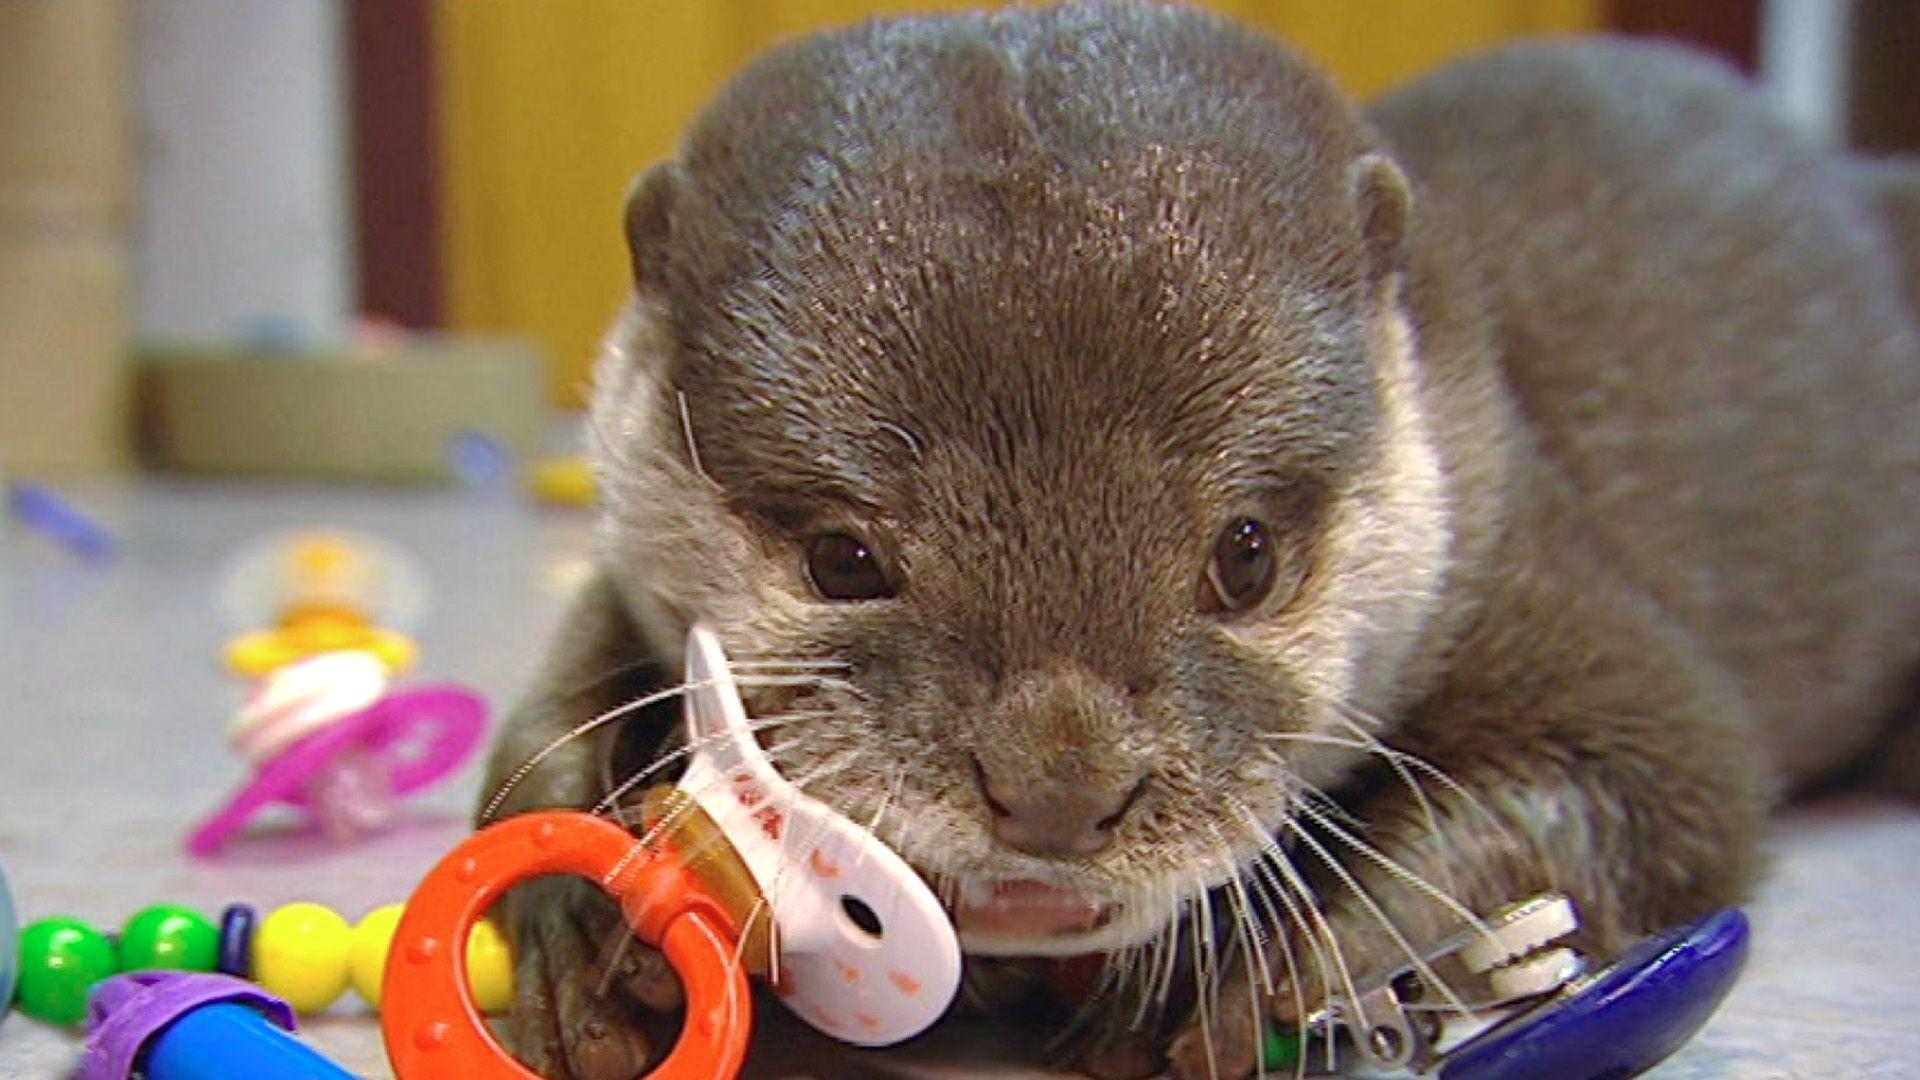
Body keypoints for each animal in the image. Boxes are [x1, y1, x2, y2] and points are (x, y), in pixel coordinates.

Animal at [478, 3, 1920, 1077]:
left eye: (1245, 553)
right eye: (845, 558)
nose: (1059, 787)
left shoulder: (1539, 579)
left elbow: (1653, 776)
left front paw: (1285, 948)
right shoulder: (623, 579)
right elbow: (546, 712)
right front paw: (572, 924)